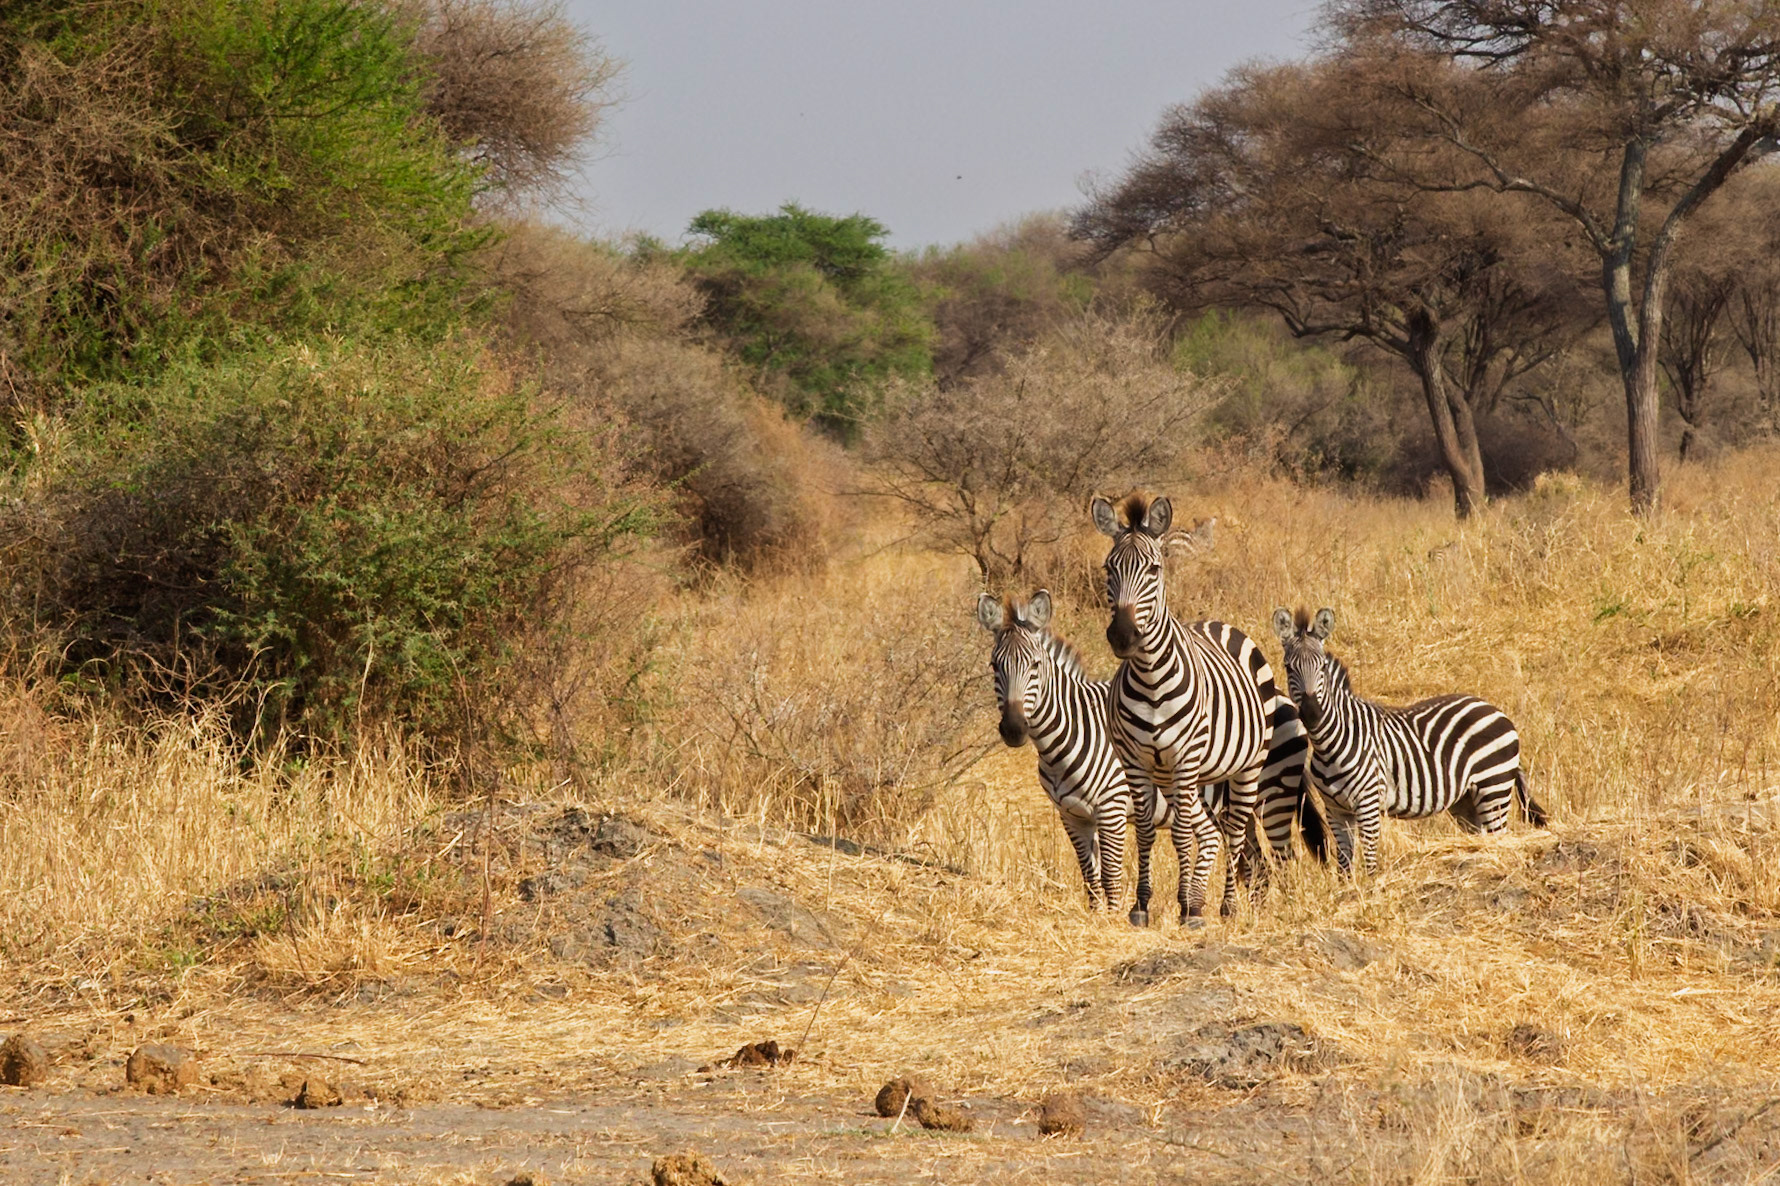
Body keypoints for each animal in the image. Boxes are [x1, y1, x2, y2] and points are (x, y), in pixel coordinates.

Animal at [1091, 492, 1300, 926]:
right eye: (1109, 568)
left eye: (1154, 569)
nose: (1122, 636)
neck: (1150, 676)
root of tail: (1217, 623)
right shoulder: (1136, 761)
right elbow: (1147, 832)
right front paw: (1142, 905)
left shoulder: (1184, 757)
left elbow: (1182, 832)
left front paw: (1188, 908)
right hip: (1192, 777)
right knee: (1212, 831)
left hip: (1246, 766)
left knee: (1234, 831)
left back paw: (1225, 905)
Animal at [1270, 606, 1548, 876]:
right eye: (1288, 667)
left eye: (1322, 668)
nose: (1311, 714)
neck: (1329, 745)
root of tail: (1496, 710)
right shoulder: (1335, 810)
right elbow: (1344, 867)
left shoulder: (1368, 804)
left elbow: (1370, 864)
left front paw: (1372, 890)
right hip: (1467, 800)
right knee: (1482, 838)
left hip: (1494, 789)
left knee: (1499, 836)